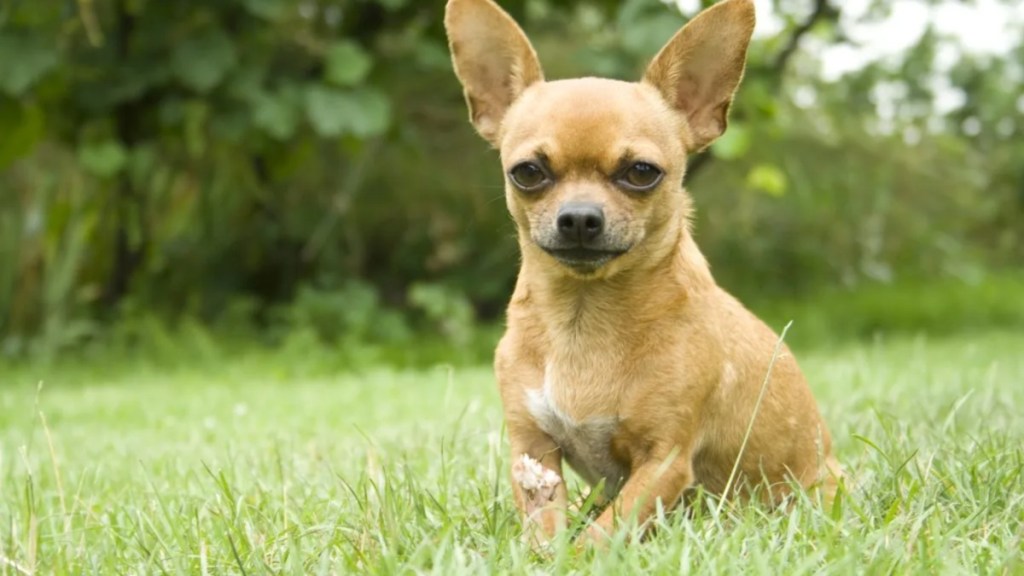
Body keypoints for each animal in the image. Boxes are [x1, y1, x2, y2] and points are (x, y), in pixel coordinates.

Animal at [446, 0, 839, 541]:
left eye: (641, 172)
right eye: (527, 172)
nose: (579, 218)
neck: (583, 319)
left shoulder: (663, 462)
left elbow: (601, 536)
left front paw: (581, 552)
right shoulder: (534, 452)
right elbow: (546, 531)